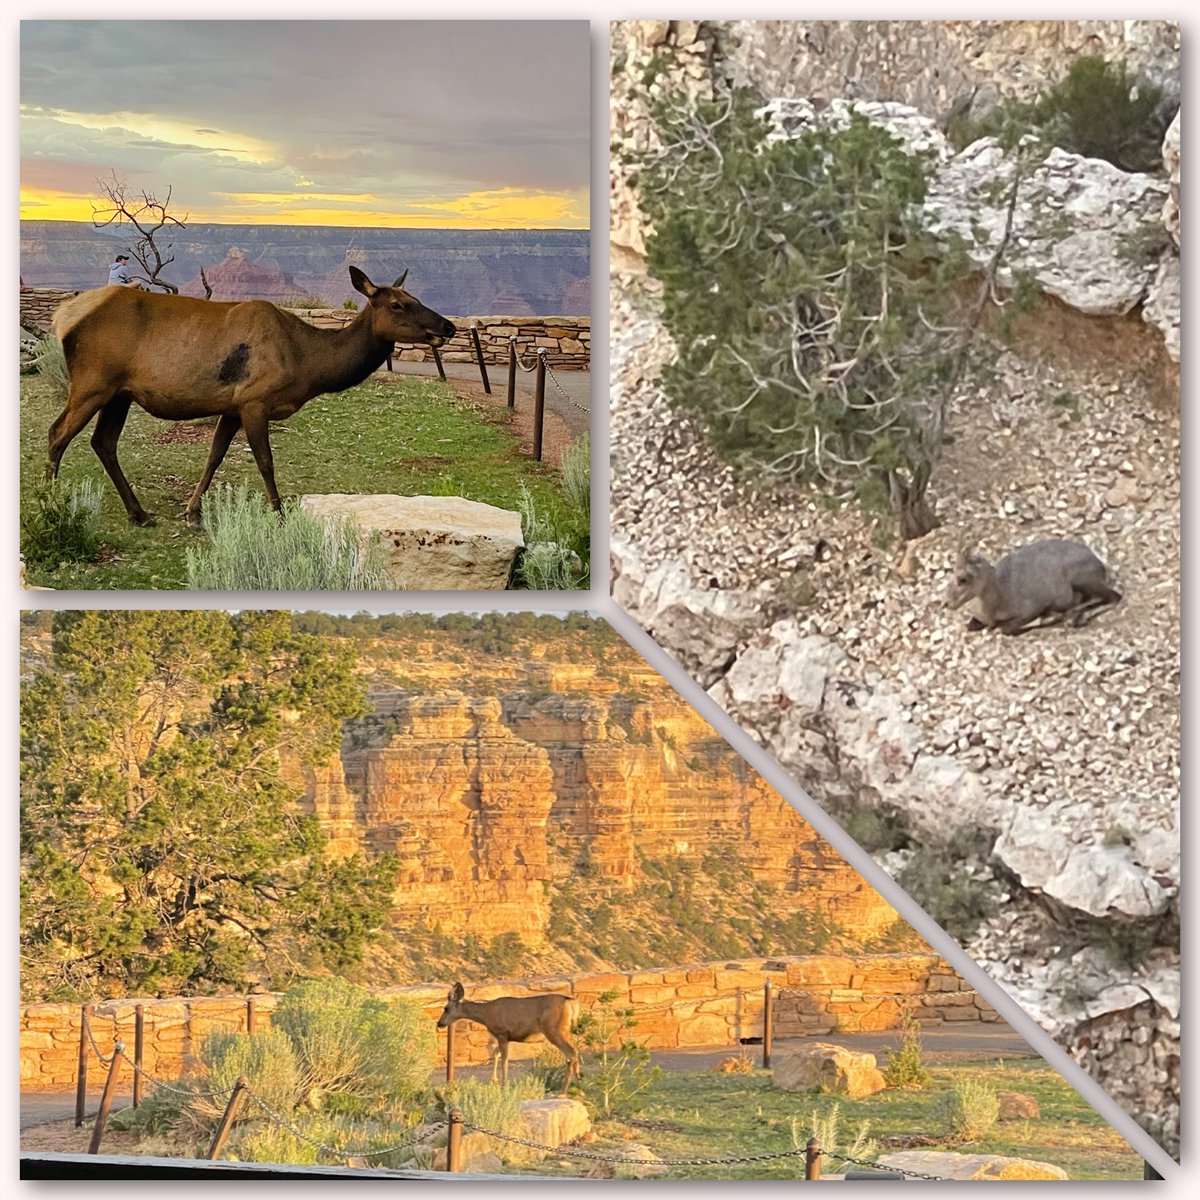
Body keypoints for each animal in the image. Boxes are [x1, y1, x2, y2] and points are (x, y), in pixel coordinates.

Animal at [47, 266, 456, 528]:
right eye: (397, 304)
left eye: (414, 296)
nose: (448, 326)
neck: (306, 364)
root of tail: (62, 317)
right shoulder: (255, 401)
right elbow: (265, 461)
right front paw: (278, 513)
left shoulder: (232, 406)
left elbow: (214, 456)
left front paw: (193, 513)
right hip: (93, 382)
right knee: (58, 434)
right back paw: (50, 505)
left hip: (120, 393)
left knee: (103, 442)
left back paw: (139, 514)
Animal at [436, 982, 581, 1090]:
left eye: (446, 1008)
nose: (439, 1023)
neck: (486, 1014)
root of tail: (571, 1004)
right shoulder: (506, 1037)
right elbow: (496, 1054)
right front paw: (494, 1080)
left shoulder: (501, 1033)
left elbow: (504, 1060)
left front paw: (503, 1084)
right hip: (565, 1031)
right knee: (573, 1053)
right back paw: (576, 1080)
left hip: (554, 1030)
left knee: (571, 1053)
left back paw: (565, 1088)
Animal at [945, 539, 1122, 635]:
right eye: (952, 572)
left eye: (962, 579)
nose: (946, 603)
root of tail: (1099, 564)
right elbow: (971, 625)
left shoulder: (1032, 607)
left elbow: (1008, 629)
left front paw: (1049, 618)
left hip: (1083, 580)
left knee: (1114, 597)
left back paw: (1075, 618)